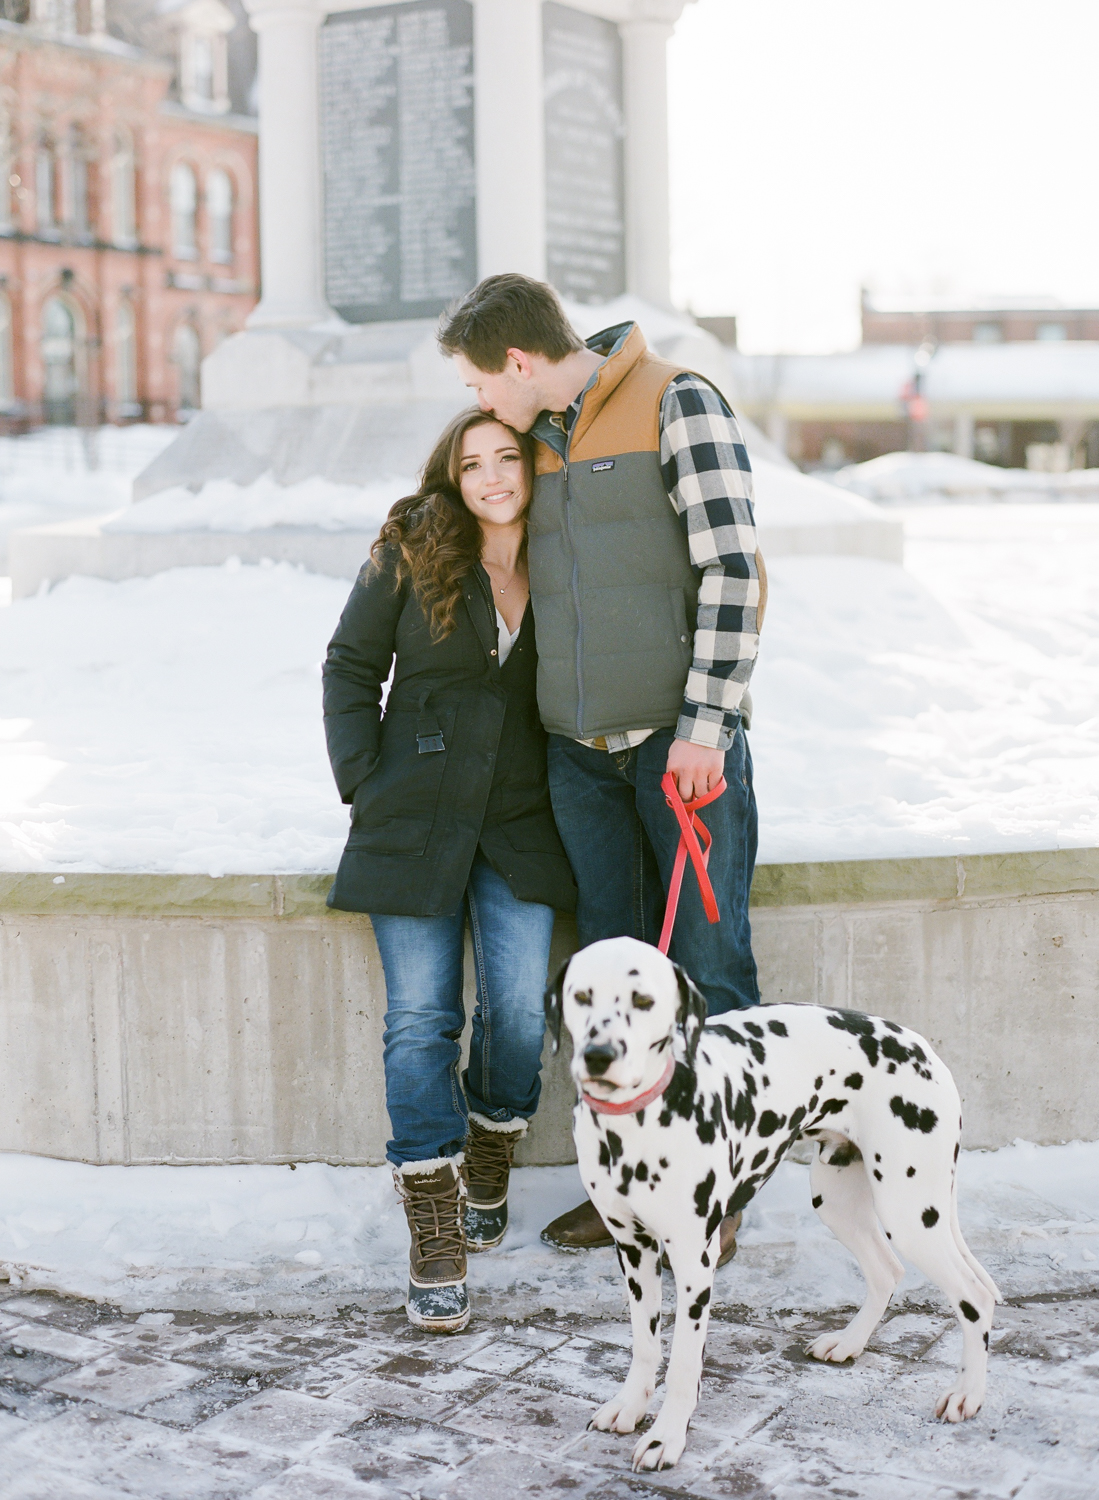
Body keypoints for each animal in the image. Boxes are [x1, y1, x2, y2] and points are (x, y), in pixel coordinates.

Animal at [545, 936, 1001, 1476]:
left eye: (642, 1000)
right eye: (581, 995)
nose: (599, 1055)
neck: (633, 1126)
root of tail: (923, 1048)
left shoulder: (694, 1262)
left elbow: (683, 1363)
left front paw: (666, 1437)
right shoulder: (633, 1250)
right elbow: (644, 1344)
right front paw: (631, 1406)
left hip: (911, 1213)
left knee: (975, 1296)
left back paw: (968, 1393)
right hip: (836, 1199)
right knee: (887, 1271)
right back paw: (849, 1343)